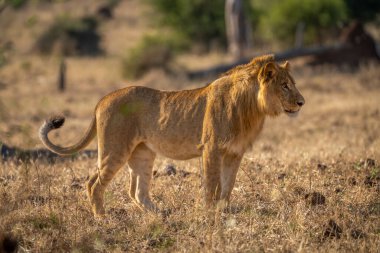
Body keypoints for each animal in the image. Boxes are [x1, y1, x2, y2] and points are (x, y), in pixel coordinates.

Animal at [39, 54, 306, 216]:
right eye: (284, 86)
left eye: (293, 83)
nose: (302, 102)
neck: (252, 108)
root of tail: (102, 100)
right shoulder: (211, 148)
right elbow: (213, 185)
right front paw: (210, 214)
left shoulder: (234, 153)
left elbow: (228, 185)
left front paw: (224, 211)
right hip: (115, 150)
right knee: (94, 183)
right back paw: (102, 218)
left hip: (143, 154)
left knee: (137, 191)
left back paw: (160, 215)